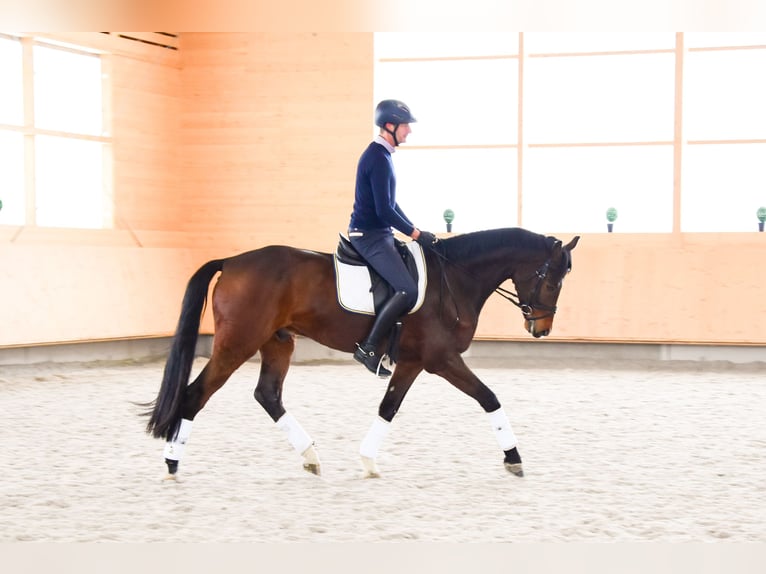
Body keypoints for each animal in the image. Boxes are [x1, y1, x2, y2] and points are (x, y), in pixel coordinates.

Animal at [142, 227, 584, 480]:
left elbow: (388, 407)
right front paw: (514, 457)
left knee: (267, 394)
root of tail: (232, 261)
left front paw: (368, 460)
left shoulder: (413, 362)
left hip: (278, 342)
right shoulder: (441, 360)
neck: (455, 278)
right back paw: (172, 463)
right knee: (195, 395)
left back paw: (310, 456)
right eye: (553, 282)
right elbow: (489, 397)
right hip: (237, 344)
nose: (541, 329)